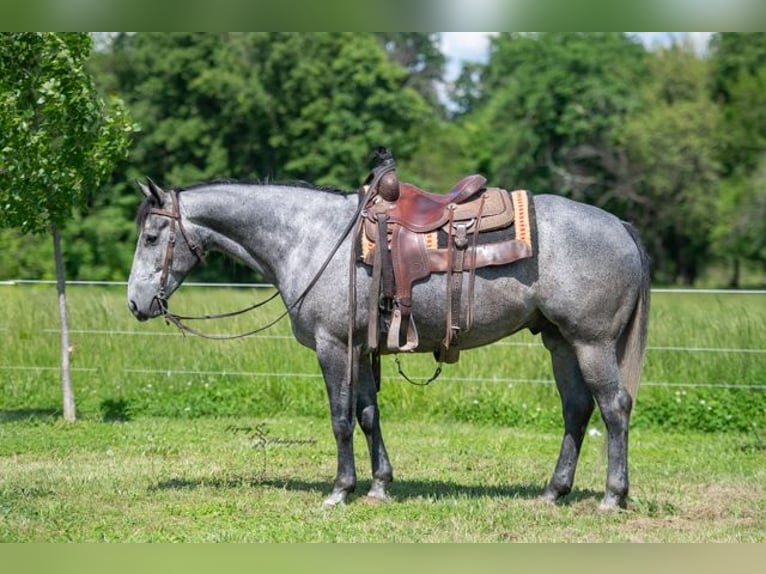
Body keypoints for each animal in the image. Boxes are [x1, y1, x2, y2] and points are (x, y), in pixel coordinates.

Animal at [127, 175, 650, 510]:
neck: (312, 239)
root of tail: (621, 226)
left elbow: (340, 419)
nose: (136, 303)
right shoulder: (361, 350)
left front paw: (340, 490)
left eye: (152, 236)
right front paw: (379, 485)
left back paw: (612, 497)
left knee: (614, 408)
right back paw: (553, 492)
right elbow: (367, 414)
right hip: (561, 342)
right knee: (577, 410)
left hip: (592, 342)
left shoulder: (333, 346)